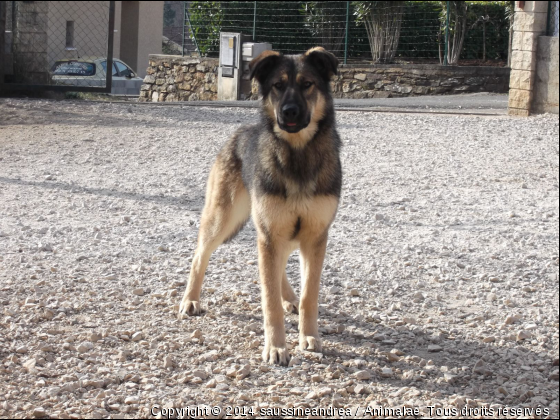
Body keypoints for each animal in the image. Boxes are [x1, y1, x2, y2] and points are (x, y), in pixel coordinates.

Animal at [179, 47, 342, 366]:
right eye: (278, 85)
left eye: (307, 84)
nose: (289, 112)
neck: (297, 153)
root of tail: (239, 131)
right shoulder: (270, 234)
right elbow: (269, 301)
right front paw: (276, 346)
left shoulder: (314, 237)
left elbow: (310, 295)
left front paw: (308, 336)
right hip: (224, 220)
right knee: (199, 256)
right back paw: (191, 299)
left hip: (282, 233)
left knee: (279, 269)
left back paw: (290, 298)